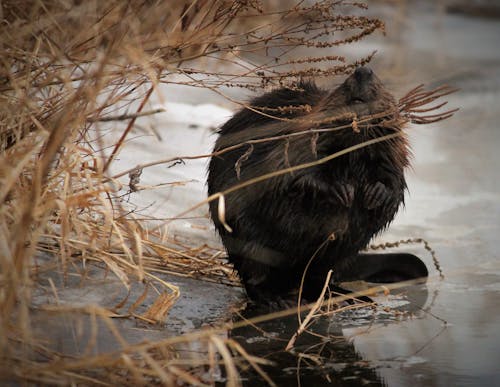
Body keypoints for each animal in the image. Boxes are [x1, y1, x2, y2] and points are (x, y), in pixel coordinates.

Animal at [206, 68, 426, 308]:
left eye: (380, 84)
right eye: (343, 84)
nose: (363, 71)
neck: (354, 145)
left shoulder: (391, 152)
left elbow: (394, 179)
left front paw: (376, 194)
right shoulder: (296, 141)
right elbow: (292, 173)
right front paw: (341, 191)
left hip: (338, 255)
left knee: (318, 276)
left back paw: (346, 296)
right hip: (250, 243)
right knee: (255, 274)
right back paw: (277, 300)